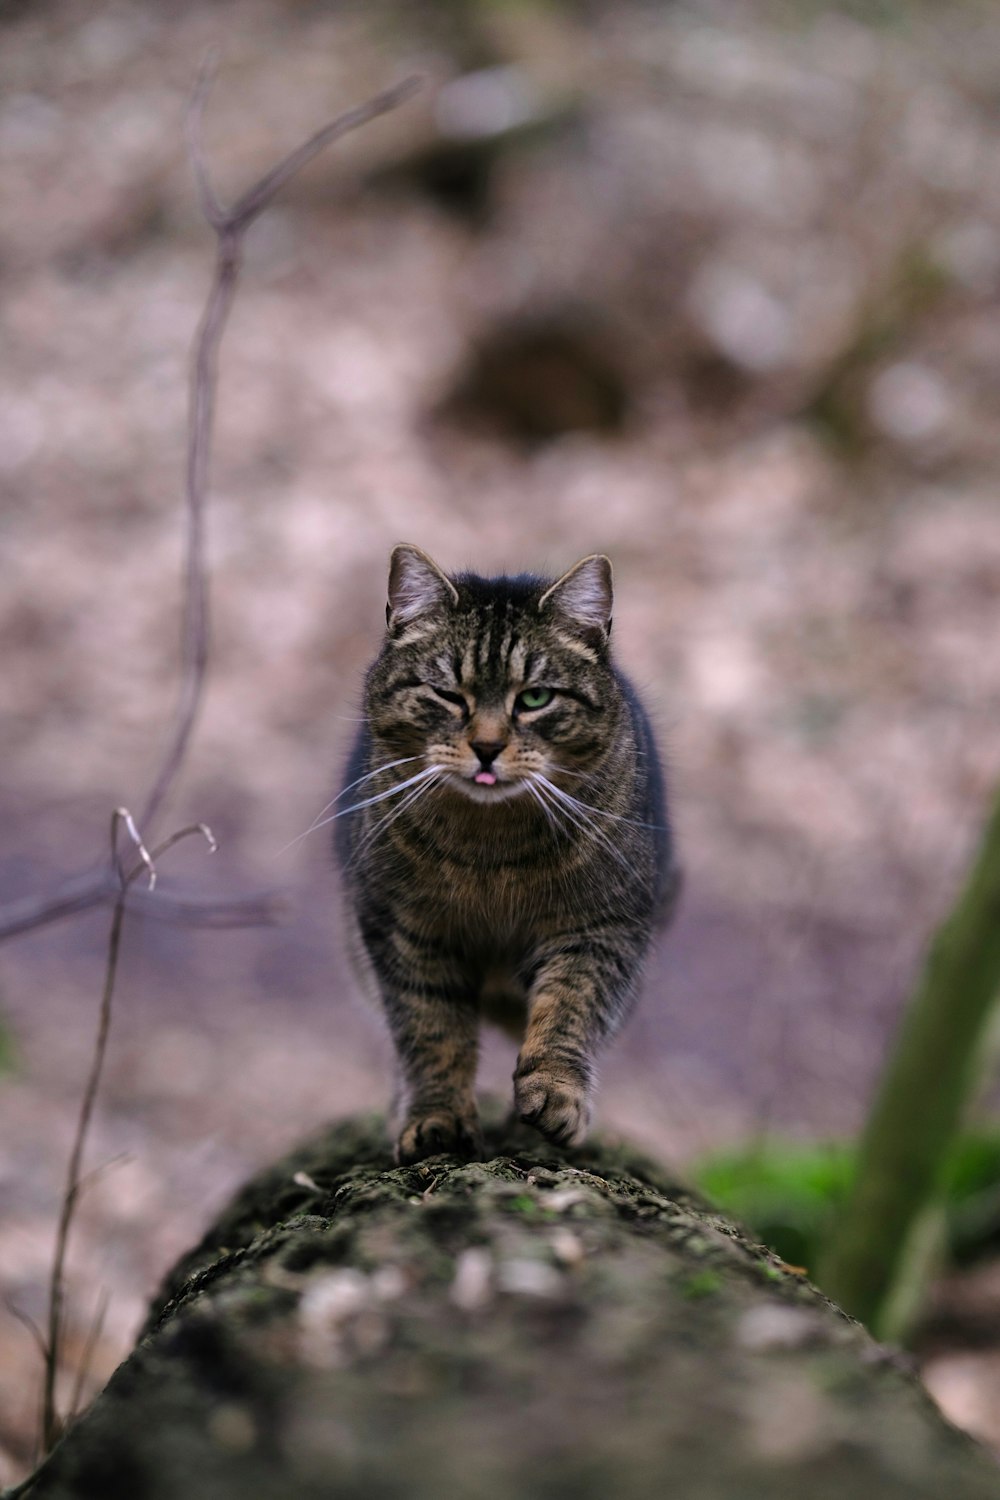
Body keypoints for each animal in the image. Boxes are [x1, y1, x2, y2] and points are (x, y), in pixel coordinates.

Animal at [338, 546, 680, 1164]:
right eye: (448, 694)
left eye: (536, 698)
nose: (488, 746)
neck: (491, 852)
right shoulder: (401, 929)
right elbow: (431, 1029)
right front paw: (436, 1119)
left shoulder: (601, 926)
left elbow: (570, 1007)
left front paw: (556, 1095)